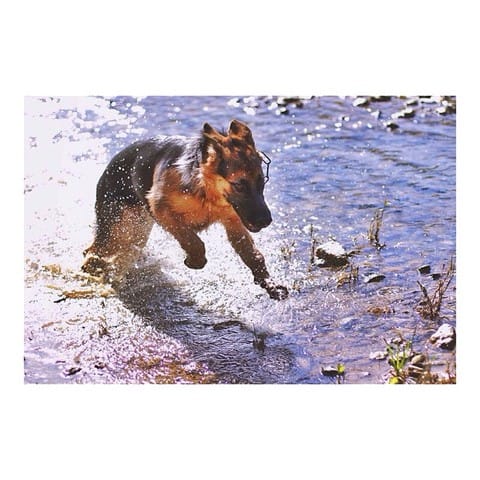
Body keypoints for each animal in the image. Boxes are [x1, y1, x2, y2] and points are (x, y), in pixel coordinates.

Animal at [82, 119, 288, 300]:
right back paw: (92, 266)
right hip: (116, 229)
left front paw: (270, 284)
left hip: (136, 232)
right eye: (239, 185)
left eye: (262, 181)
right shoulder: (161, 209)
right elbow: (193, 240)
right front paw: (195, 261)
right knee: (93, 250)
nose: (266, 221)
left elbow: (254, 256)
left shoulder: (233, 222)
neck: (206, 190)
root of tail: (110, 166)